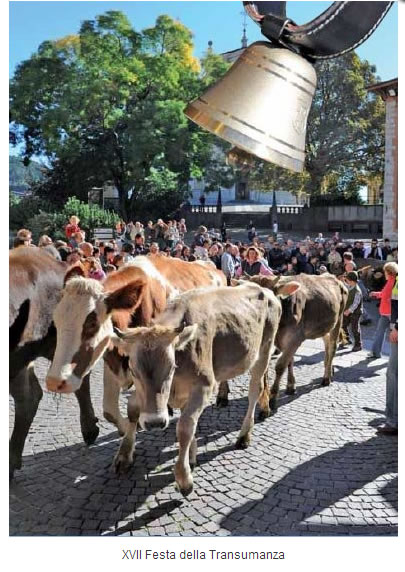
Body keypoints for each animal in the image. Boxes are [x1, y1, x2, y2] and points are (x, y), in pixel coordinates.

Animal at [109, 280, 298, 496]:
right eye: (132, 369)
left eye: (171, 366)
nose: (155, 422)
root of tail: (264, 289)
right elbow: (133, 409)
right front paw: (124, 456)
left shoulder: (205, 385)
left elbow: (185, 427)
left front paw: (184, 477)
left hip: (263, 351)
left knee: (254, 391)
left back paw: (244, 435)